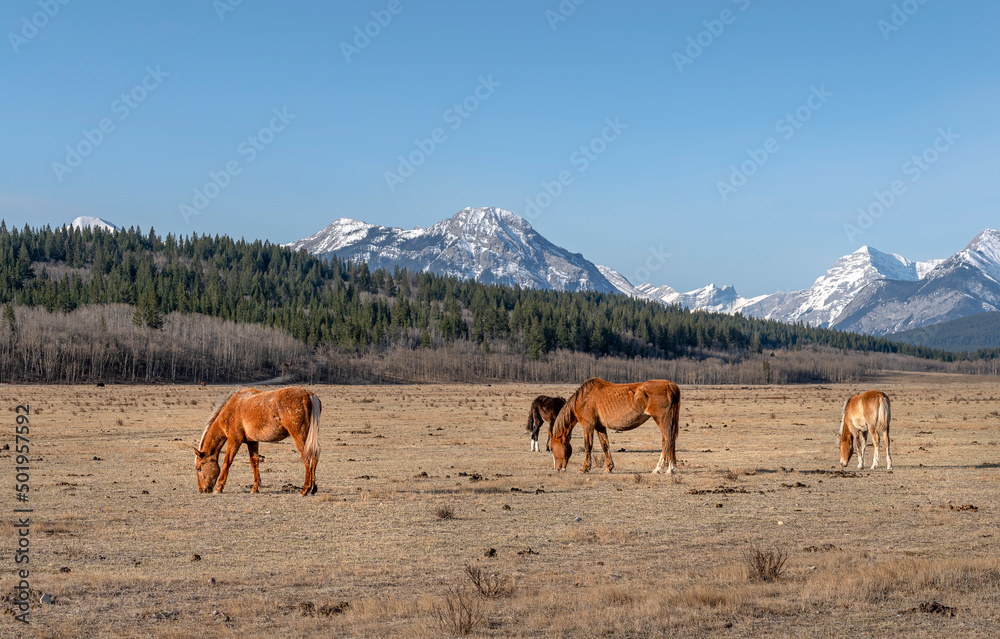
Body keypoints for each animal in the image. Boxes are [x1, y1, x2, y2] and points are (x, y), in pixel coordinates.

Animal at [193, 388, 322, 498]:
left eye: (199, 468)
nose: (202, 490)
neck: (232, 409)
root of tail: (309, 394)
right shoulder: (252, 441)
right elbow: (254, 462)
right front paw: (255, 488)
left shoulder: (234, 440)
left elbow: (227, 462)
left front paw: (219, 488)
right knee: (315, 455)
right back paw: (313, 488)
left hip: (300, 436)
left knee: (307, 457)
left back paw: (305, 489)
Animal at [548, 380, 680, 476]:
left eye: (552, 448)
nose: (557, 469)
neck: (583, 398)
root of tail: (669, 385)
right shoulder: (600, 426)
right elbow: (605, 445)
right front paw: (609, 468)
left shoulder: (588, 425)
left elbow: (588, 446)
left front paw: (585, 468)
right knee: (669, 441)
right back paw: (669, 468)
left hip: (662, 420)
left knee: (667, 441)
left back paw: (664, 469)